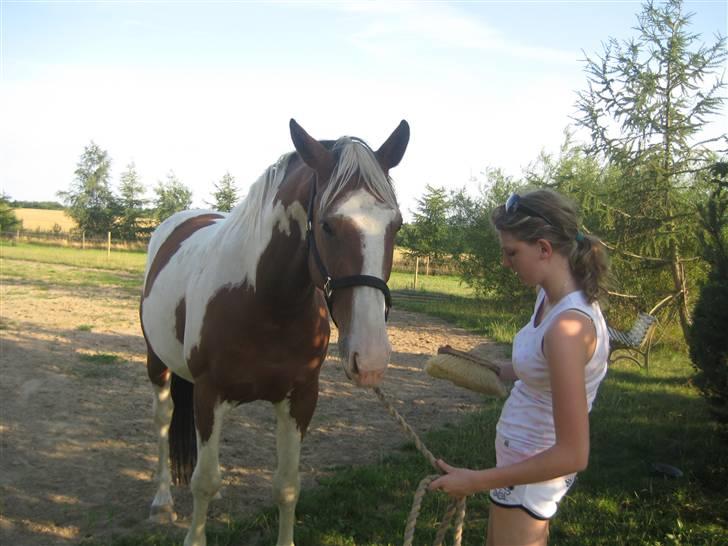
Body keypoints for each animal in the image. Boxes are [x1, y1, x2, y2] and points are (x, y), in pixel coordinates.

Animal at [137, 120, 410, 544]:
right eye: (328, 225)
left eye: (395, 225)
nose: (371, 358)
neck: (264, 302)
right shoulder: (209, 394)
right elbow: (204, 482)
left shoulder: (300, 399)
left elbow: (286, 486)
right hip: (158, 364)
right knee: (163, 421)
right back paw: (162, 501)